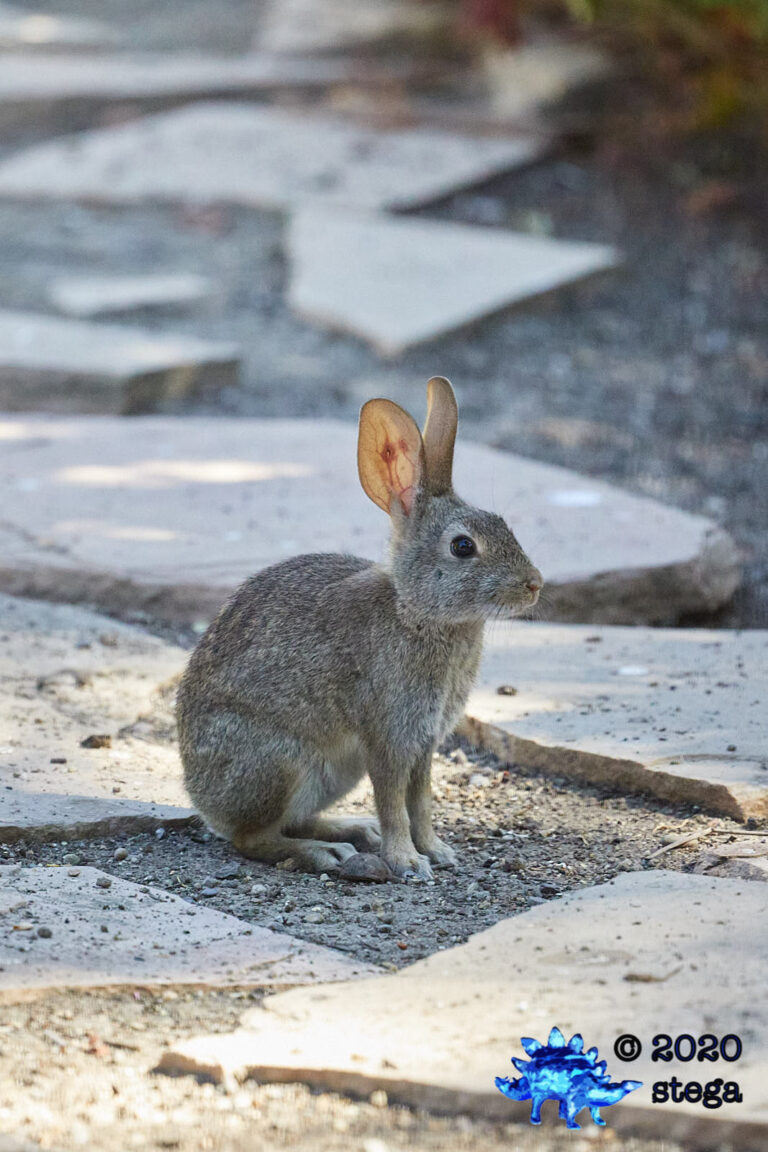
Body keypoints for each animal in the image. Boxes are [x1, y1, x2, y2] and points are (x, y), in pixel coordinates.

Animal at [177, 377, 542, 880]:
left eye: (503, 524)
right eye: (463, 547)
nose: (535, 585)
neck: (415, 612)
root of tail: (201, 797)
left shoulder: (424, 741)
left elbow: (420, 801)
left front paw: (438, 852)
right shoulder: (388, 732)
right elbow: (393, 802)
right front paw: (407, 861)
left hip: (330, 775)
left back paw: (351, 831)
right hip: (280, 764)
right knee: (251, 839)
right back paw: (326, 853)